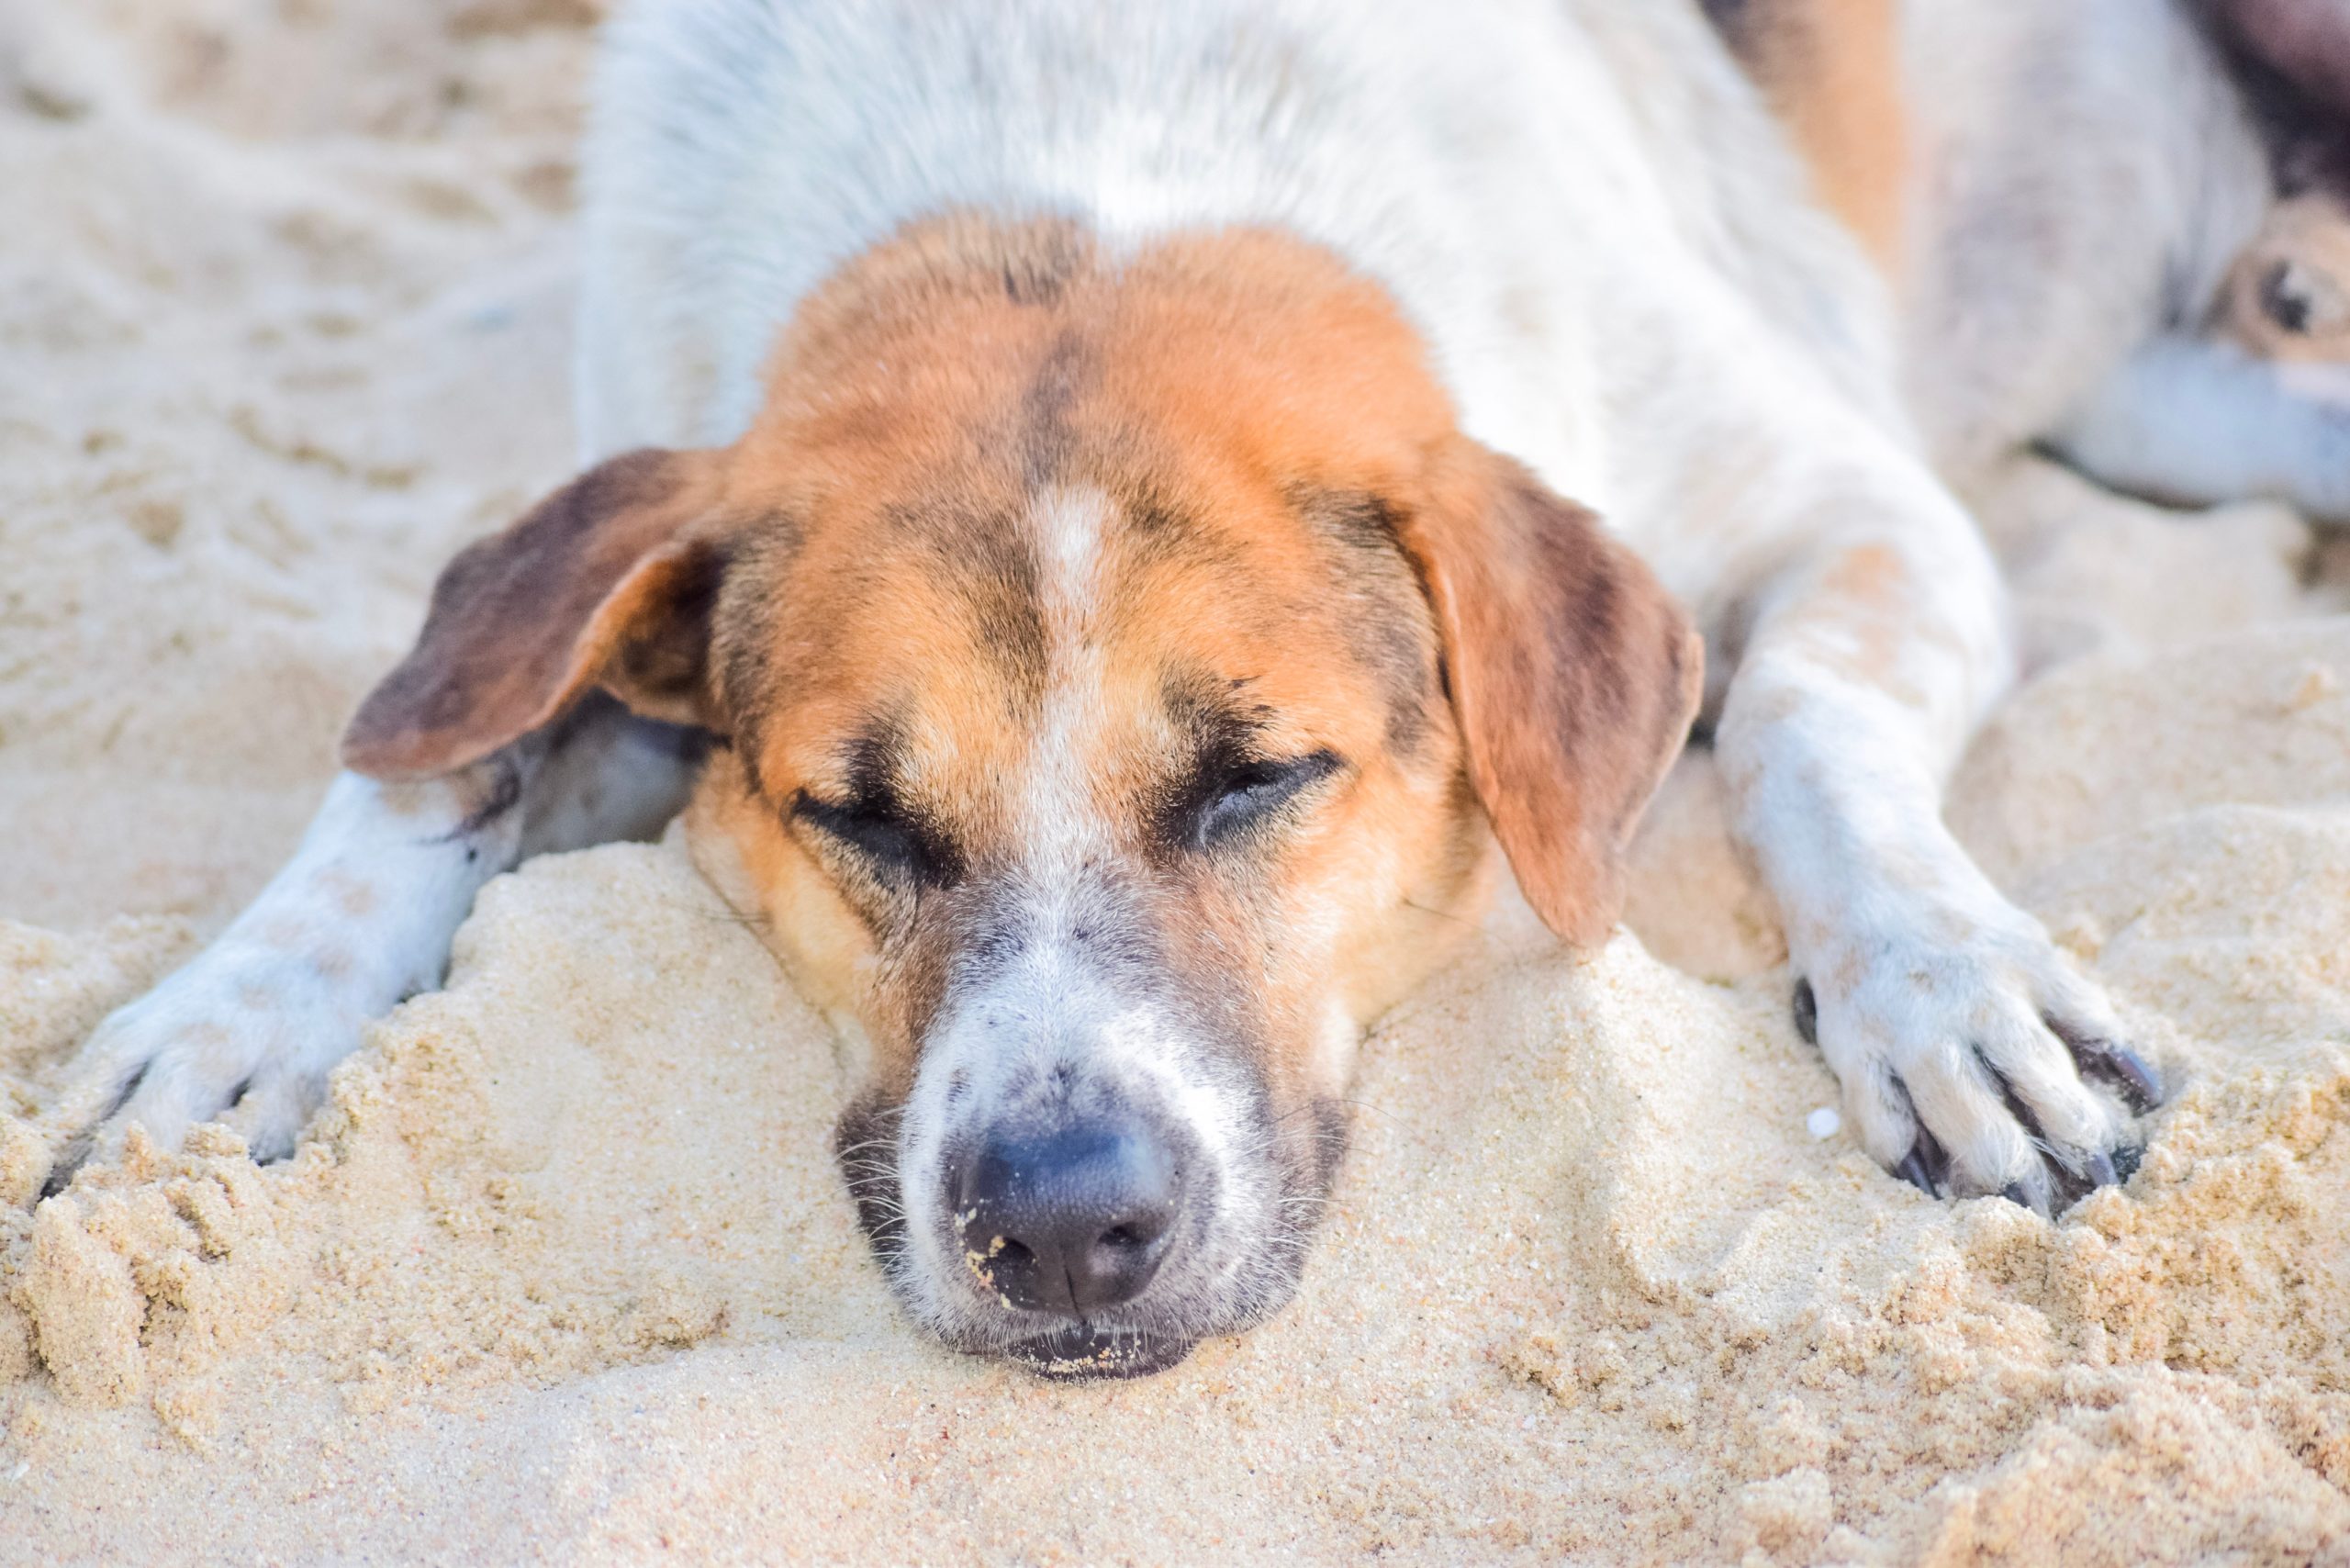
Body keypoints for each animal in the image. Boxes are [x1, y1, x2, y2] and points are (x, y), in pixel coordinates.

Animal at [45, 0, 2322, 1372]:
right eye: (855, 812)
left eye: (1255, 774)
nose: (1062, 1229)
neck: (1083, 144)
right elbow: (441, 746)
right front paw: (235, 1013)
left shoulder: (1853, 504)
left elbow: (1800, 721)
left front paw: (1949, 989)